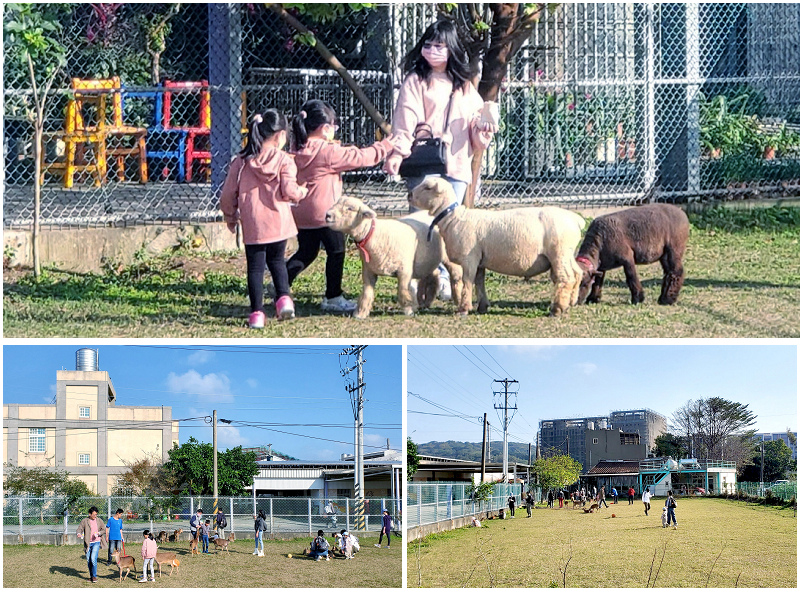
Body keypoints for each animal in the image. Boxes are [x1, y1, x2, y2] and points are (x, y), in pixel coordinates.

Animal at [324, 197, 462, 320]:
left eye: (350, 208)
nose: (327, 215)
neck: (376, 234)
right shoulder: (368, 271)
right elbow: (367, 293)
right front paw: (360, 313)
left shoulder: (404, 270)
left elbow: (402, 291)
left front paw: (408, 310)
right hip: (427, 259)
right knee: (434, 274)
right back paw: (426, 301)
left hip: (448, 256)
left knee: (456, 275)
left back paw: (458, 299)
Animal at [410, 176, 584, 314]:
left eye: (428, 187)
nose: (409, 194)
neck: (453, 218)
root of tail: (575, 219)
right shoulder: (480, 260)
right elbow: (479, 282)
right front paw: (482, 306)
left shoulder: (469, 258)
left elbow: (467, 282)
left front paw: (463, 309)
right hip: (567, 254)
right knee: (577, 273)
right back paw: (571, 302)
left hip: (559, 252)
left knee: (567, 278)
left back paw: (558, 309)